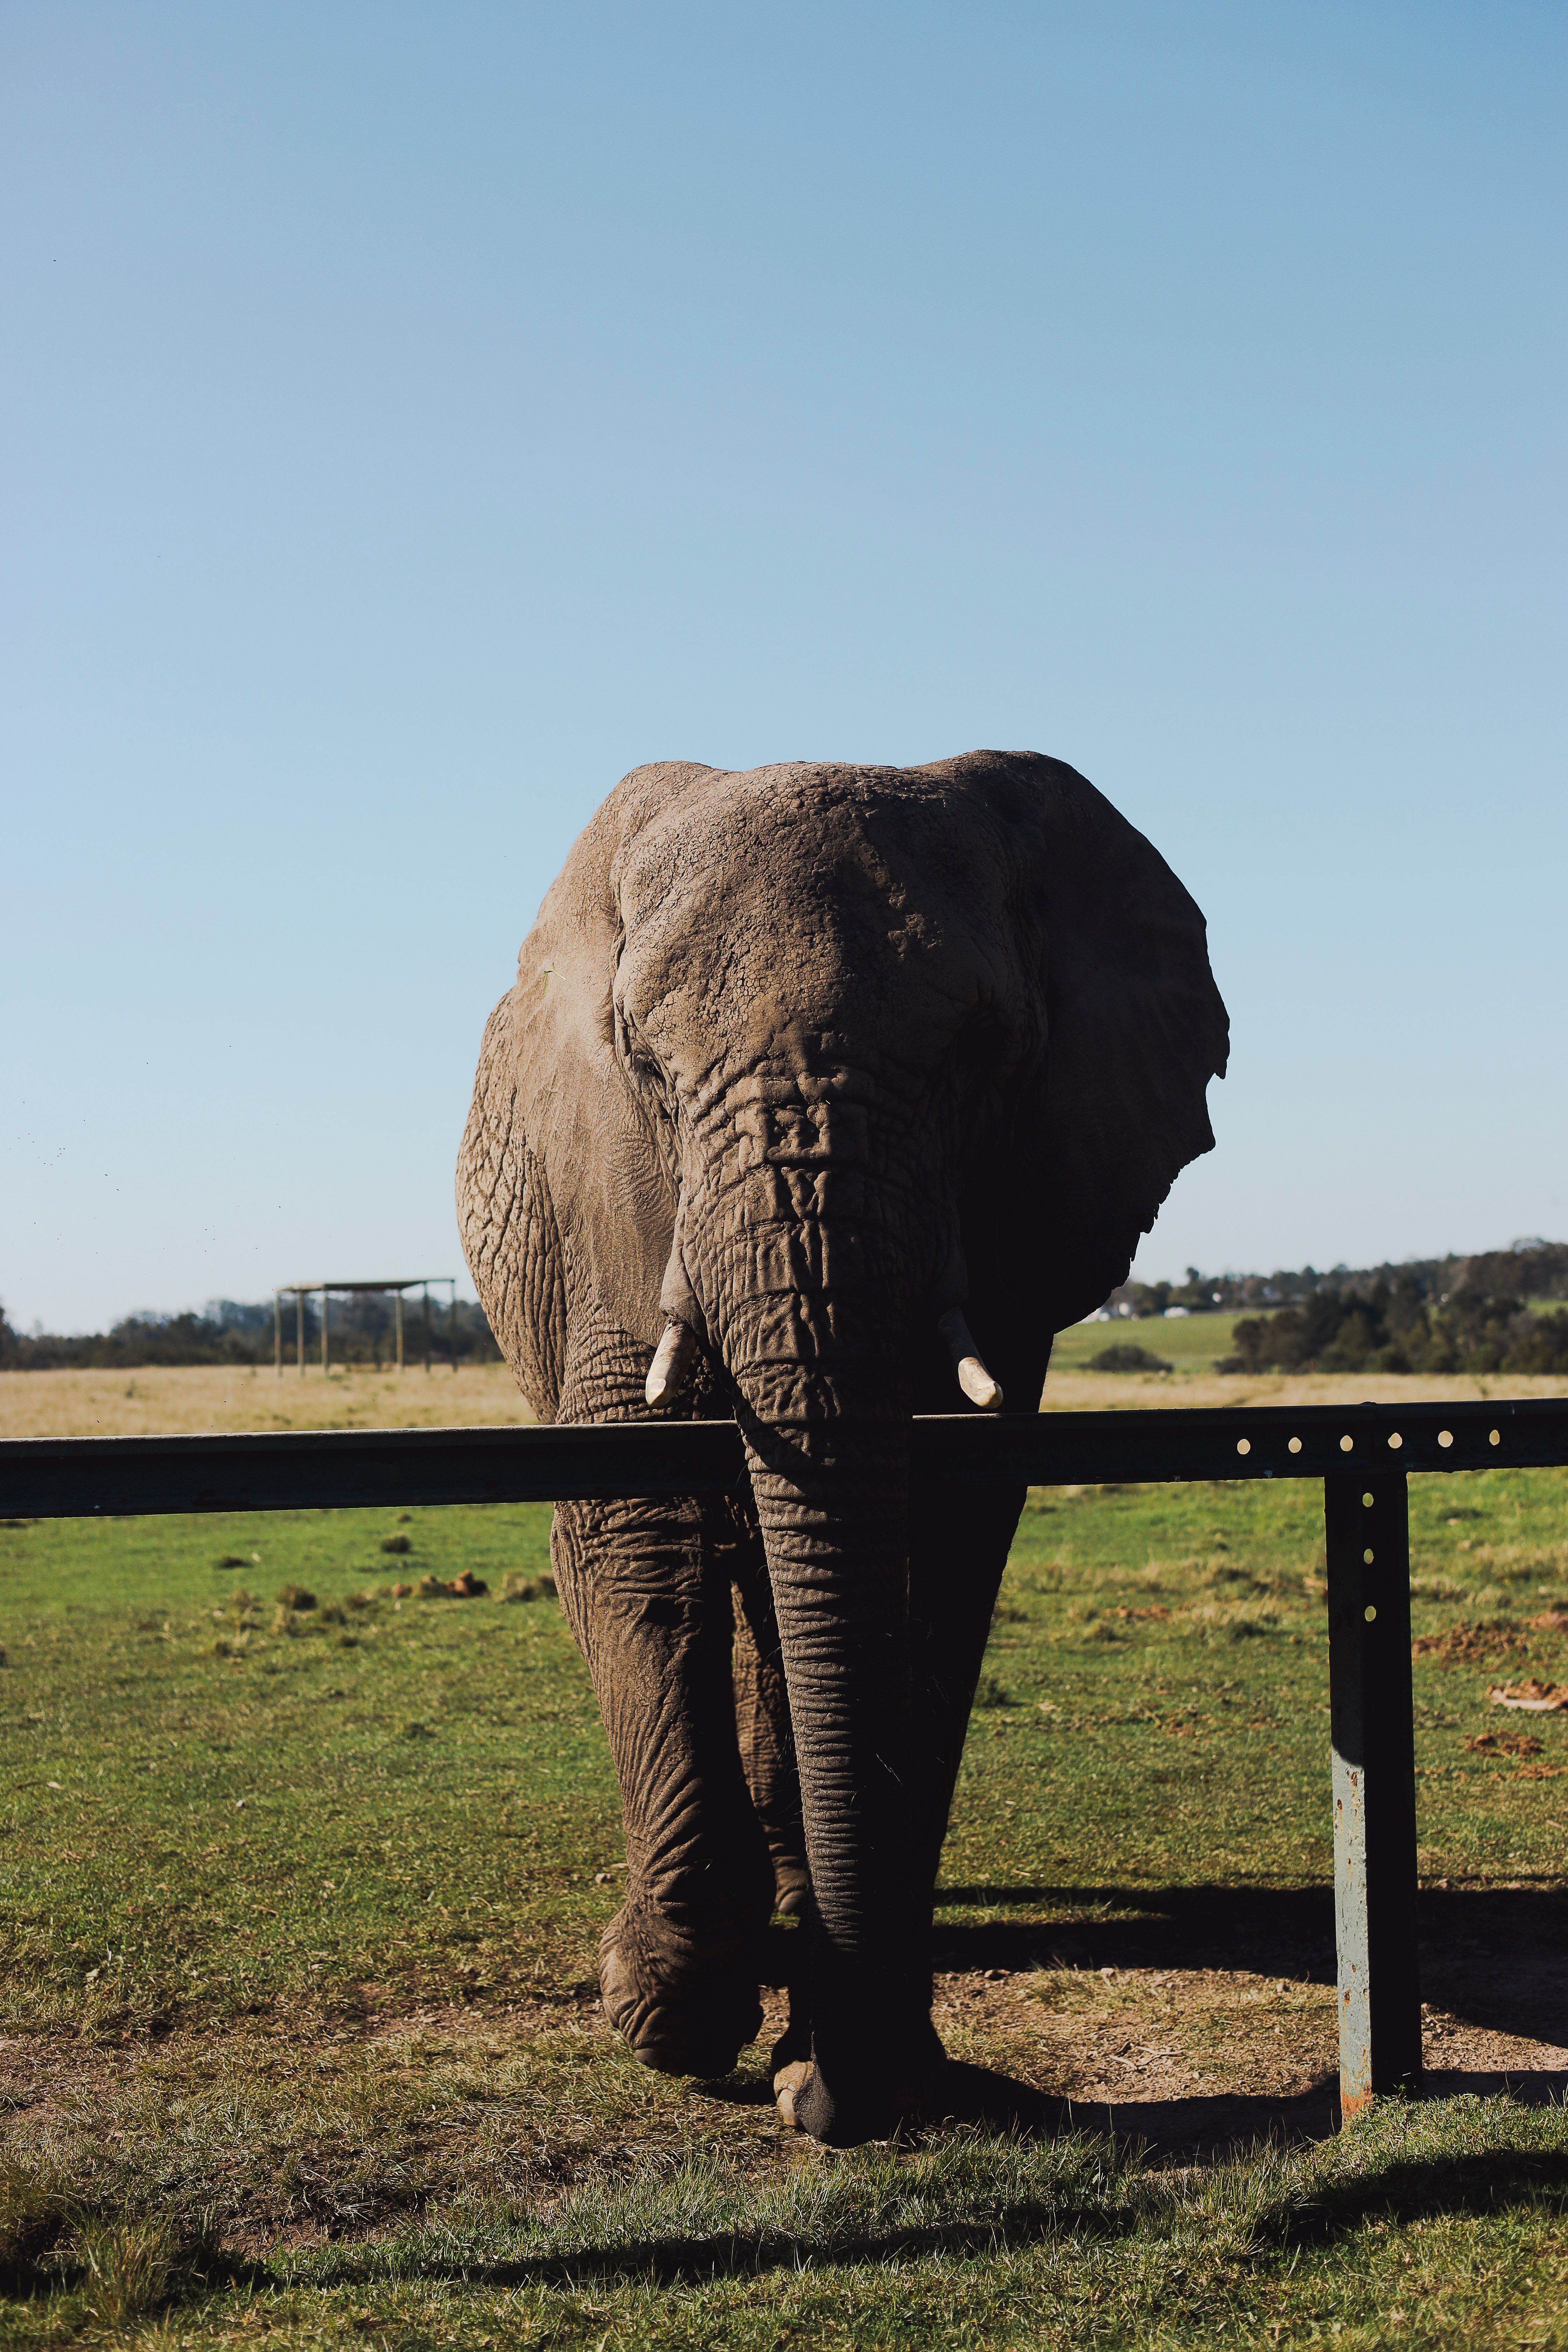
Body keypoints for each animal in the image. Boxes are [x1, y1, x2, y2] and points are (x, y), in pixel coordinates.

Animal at [457, 749, 1228, 2145]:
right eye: (647, 1066)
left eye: (982, 1051)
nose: (822, 2095)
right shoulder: (605, 1200)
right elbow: (634, 1517)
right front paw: (672, 2011)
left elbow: (936, 1540)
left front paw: (858, 2055)